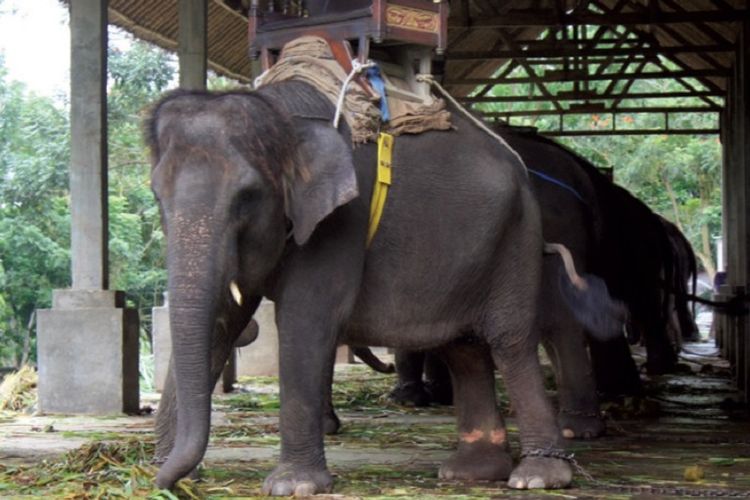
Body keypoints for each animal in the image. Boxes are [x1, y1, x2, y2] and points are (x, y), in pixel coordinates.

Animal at [145, 80, 624, 494]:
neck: (283, 114)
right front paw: (164, 469)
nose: (168, 482)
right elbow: (222, 321)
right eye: (156, 194)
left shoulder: (342, 224)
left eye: (247, 196)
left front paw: (292, 487)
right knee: (464, 347)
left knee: (510, 341)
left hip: (518, 235)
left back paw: (538, 477)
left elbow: (305, 321)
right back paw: (471, 472)